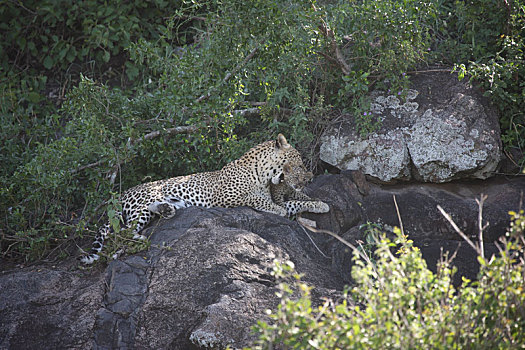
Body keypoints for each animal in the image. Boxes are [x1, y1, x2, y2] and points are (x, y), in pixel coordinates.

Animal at [79, 134, 328, 262]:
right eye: (297, 161)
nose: (307, 174)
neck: (265, 173)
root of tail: (121, 194)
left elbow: (297, 201)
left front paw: (320, 204)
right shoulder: (229, 197)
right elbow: (268, 202)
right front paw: (284, 209)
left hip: (147, 210)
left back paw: (167, 211)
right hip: (142, 204)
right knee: (120, 233)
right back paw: (139, 240)